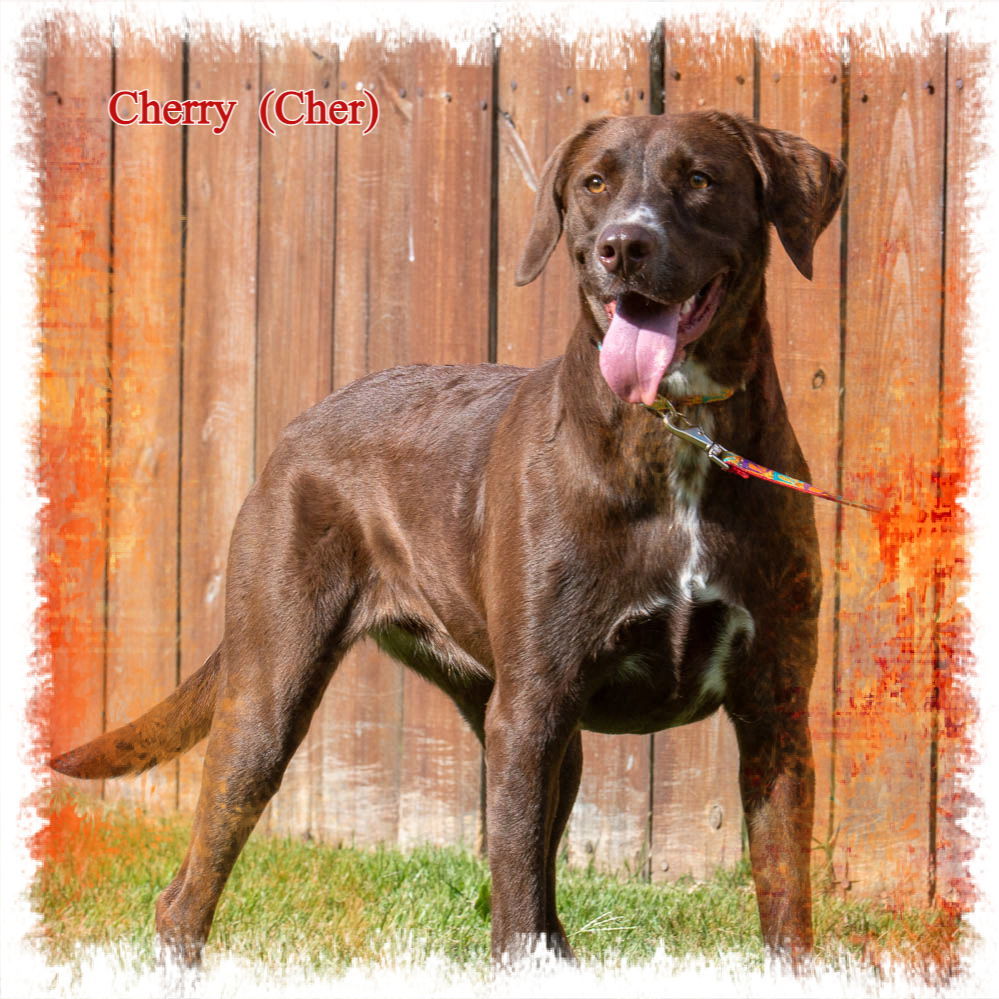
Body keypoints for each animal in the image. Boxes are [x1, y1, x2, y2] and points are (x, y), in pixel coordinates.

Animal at [52, 111, 844, 968]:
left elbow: (784, 901)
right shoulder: (531, 711)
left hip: (531, 736)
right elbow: (516, 907)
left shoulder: (772, 711)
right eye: (595, 183)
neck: (676, 435)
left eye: (700, 179)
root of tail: (294, 431)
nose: (623, 247)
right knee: (189, 890)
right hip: (272, 697)